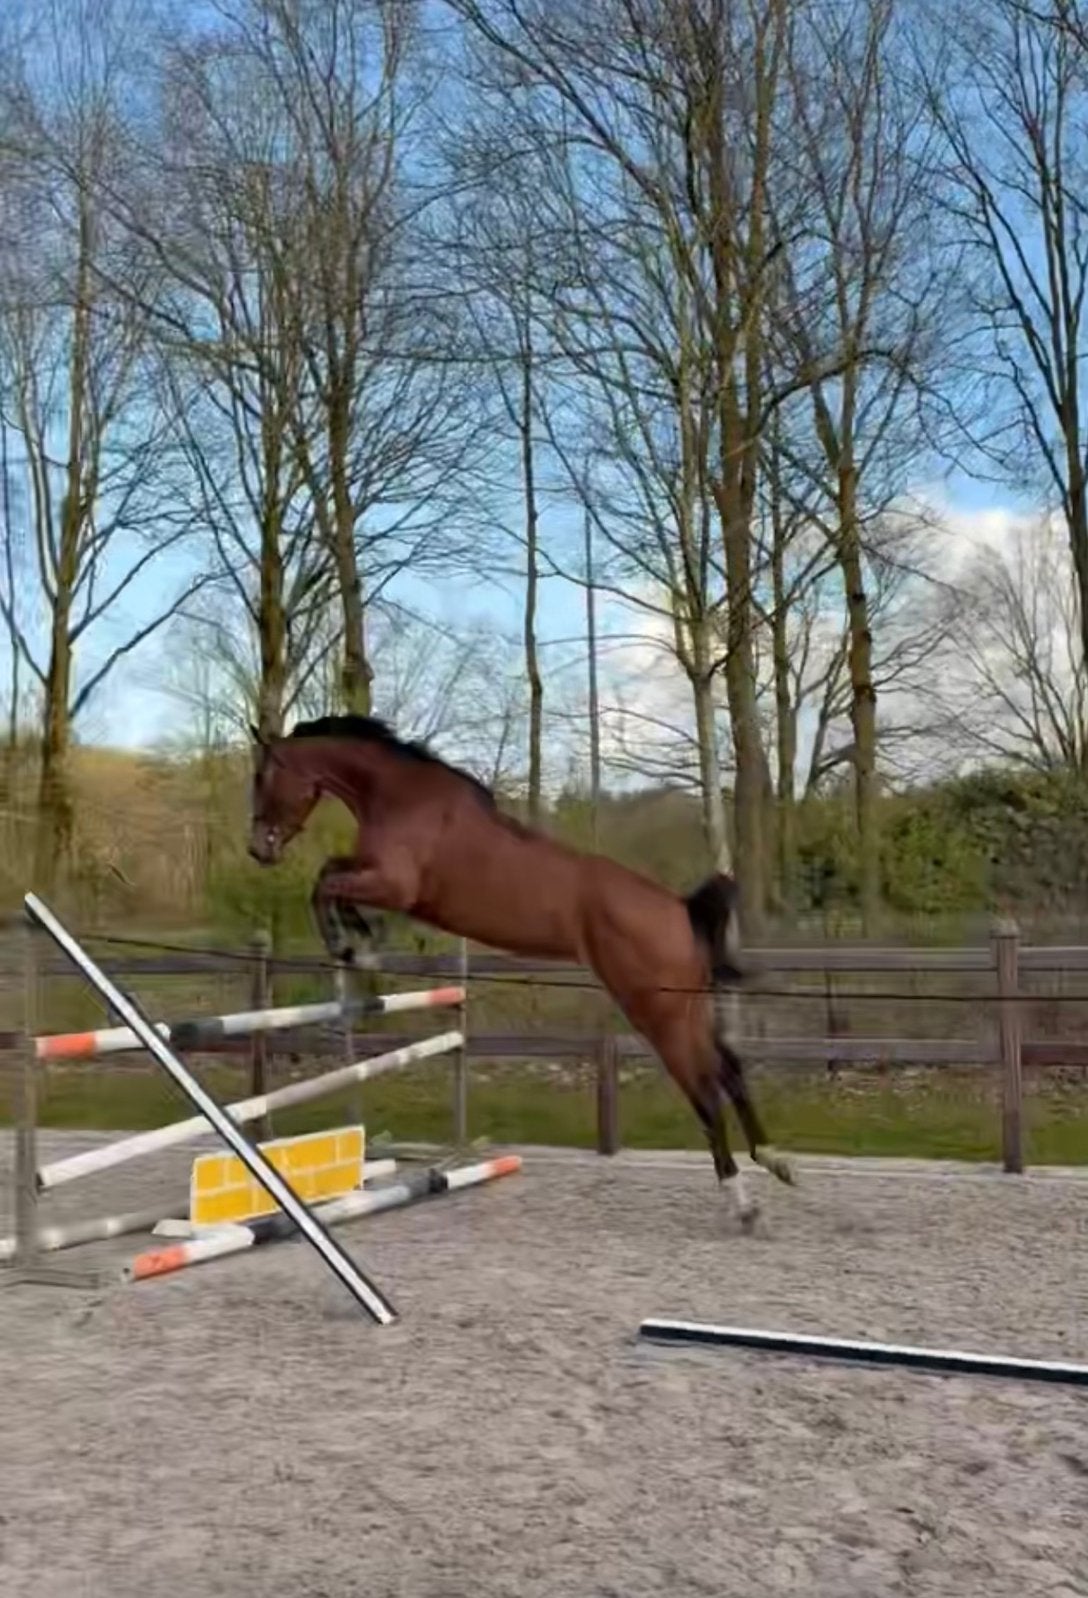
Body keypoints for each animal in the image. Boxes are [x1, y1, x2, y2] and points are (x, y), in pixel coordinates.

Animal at [246, 713, 793, 1224]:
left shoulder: (393, 884)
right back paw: (773, 1160)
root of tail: (680, 910)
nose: (258, 849)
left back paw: (742, 1202)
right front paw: (358, 943)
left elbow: (325, 881)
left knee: (704, 1091)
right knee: (729, 1068)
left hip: (657, 1013)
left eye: (262, 776)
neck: (400, 796)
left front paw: (352, 945)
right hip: (687, 1008)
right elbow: (331, 875)